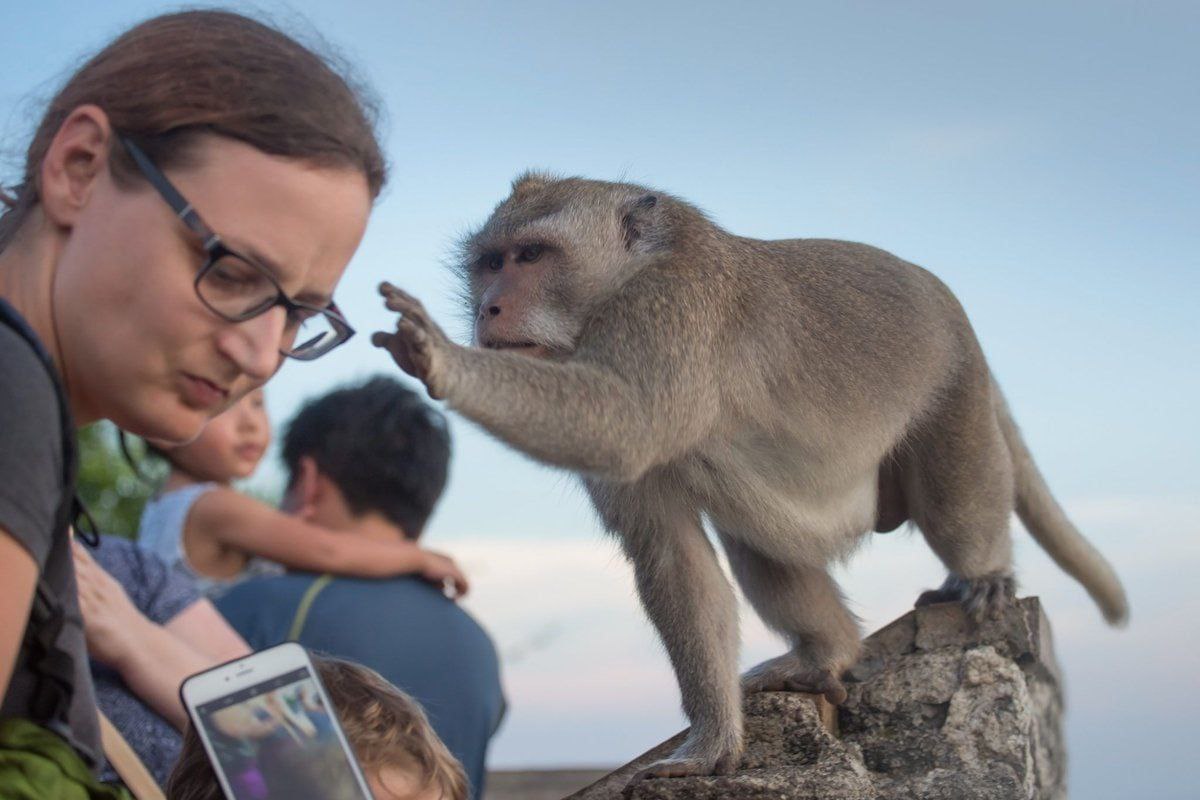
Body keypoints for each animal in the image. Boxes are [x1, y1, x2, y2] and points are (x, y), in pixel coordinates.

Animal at [369, 173, 1128, 782]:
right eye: (489, 263)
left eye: (531, 256)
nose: (487, 308)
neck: (626, 278)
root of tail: (951, 305)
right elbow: (673, 556)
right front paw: (711, 743)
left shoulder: (670, 313)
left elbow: (621, 422)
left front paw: (442, 356)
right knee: (756, 537)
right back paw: (825, 653)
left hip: (955, 388)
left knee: (953, 502)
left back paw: (982, 574)